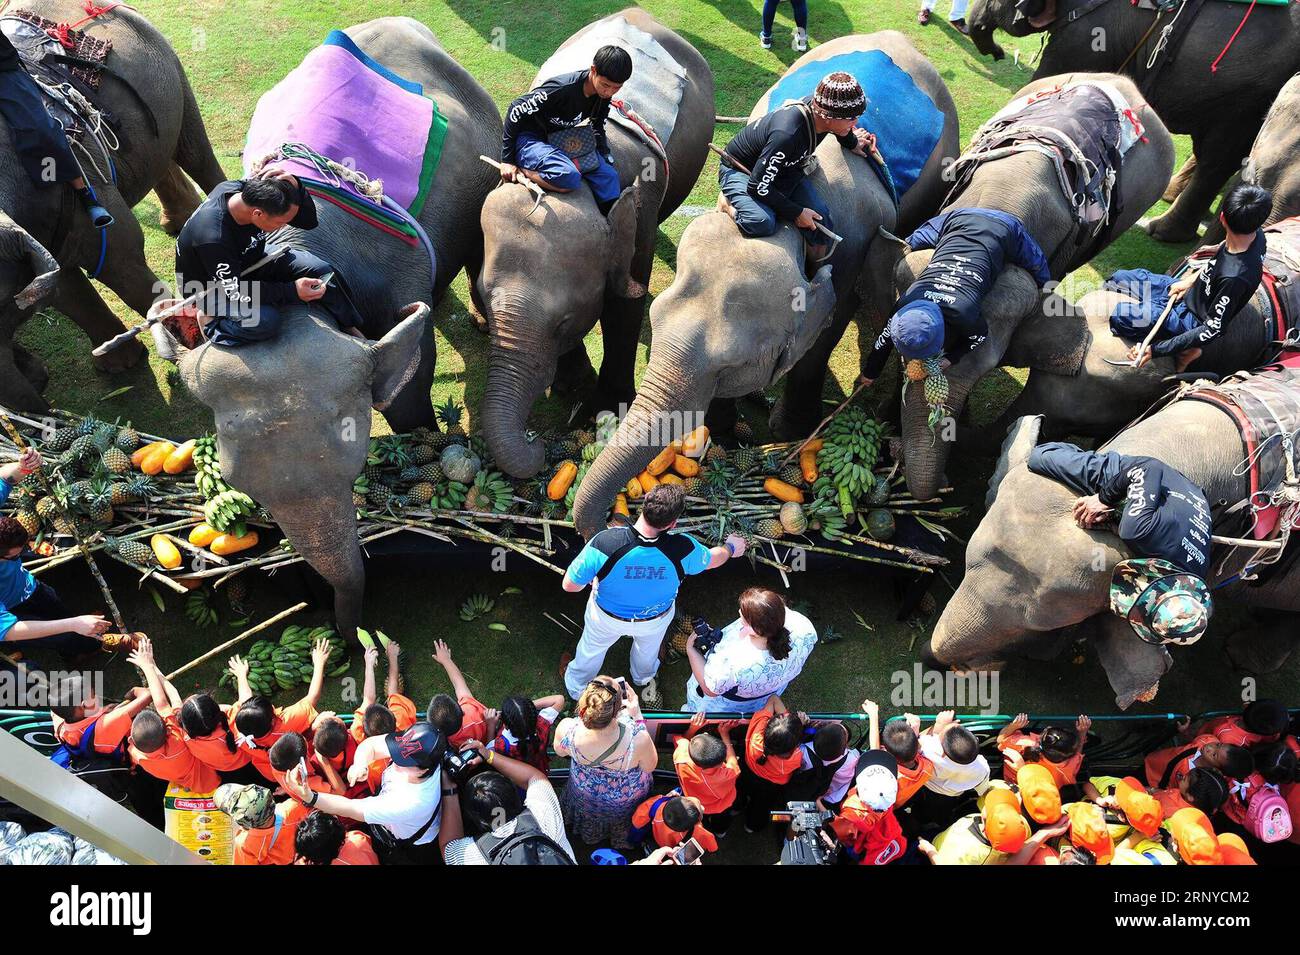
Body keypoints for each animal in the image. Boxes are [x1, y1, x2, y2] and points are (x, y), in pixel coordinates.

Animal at [1, 0, 226, 411]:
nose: (43, 385)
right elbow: (64, 285)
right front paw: (120, 365)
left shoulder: (72, 171)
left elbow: (119, 261)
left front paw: (191, 345)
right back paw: (181, 221)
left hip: (167, 68)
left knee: (194, 151)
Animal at [171, 17, 501, 640]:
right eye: (242, 485)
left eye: (355, 467)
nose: (344, 628)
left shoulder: (395, 273)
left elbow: (410, 383)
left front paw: (421, 445)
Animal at [476, 8, 714, 479]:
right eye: (485, 302)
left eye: (564, 322)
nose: (534, 440)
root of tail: (644, 15)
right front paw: (575, 391)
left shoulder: (640, 210)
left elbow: (626, 302)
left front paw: (604, 407)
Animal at [571, 32, 960, 538]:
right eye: (653, 320)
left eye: (733, 362)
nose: (615, 520)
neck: (787, 230)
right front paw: (724, 435)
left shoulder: (851, 252)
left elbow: (824, 331)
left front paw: (786, 432)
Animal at [965, 0, 1300, 242]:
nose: (995, 51)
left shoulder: (1091, 32)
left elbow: (1053, 75)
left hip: (1246, 96)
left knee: (1217, 161)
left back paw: (1162, 232)